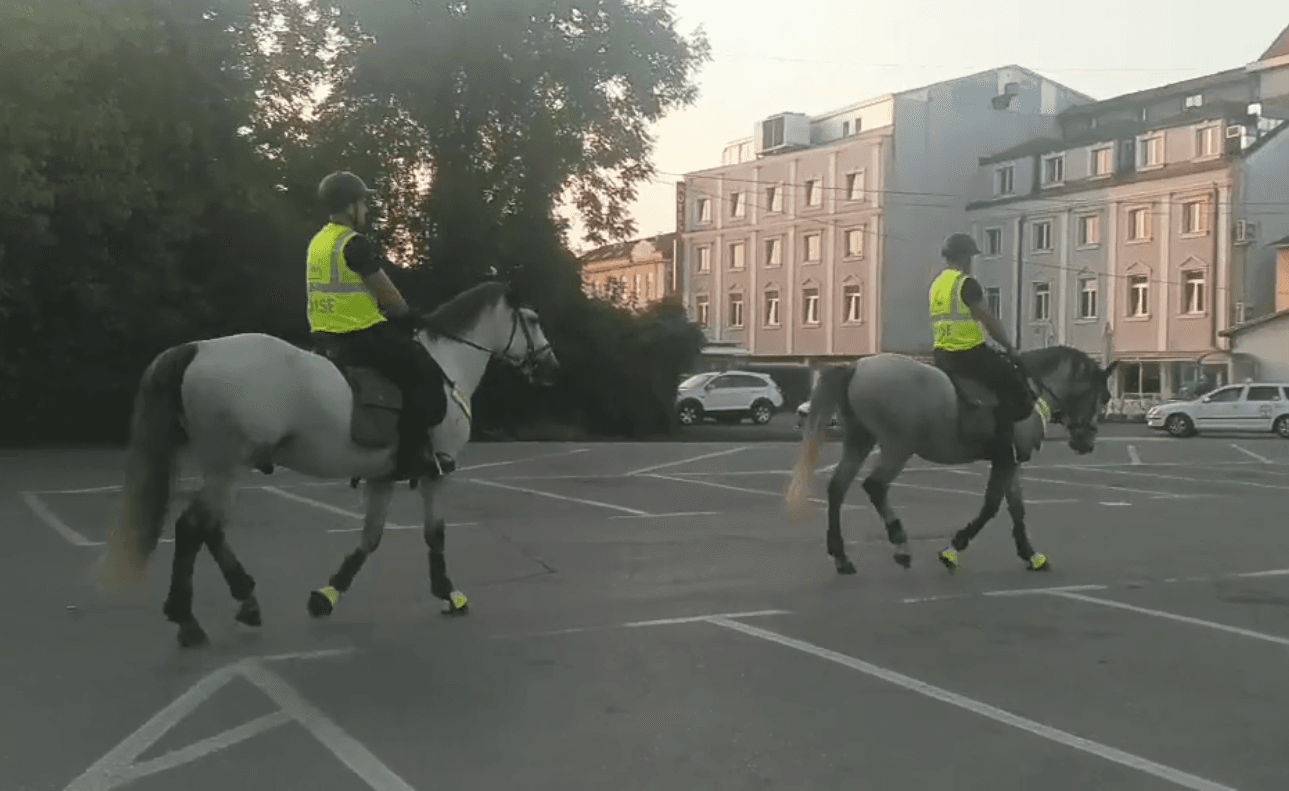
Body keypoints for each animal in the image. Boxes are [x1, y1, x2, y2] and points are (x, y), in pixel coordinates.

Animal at [97, 282, 562, 646]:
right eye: (533, 319)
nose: (551, 366)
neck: (449, 368)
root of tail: (198, 349)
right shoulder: (437, 472)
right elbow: (435, 536)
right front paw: (449, 594)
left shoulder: (383, 477)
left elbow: (369, 540)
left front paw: (326, 596)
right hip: (228, 466)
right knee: (194, 528)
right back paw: (189, 618)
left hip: (224, 467)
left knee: (208, 530)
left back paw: (243, 602)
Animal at [783, 347, 1118, 577]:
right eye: (1104, 396)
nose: (1087, 443)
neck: (1031, 391)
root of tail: (856, 366)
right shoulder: (1005, 461)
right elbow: (991, 506)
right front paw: (953, 548)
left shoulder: (1010, 462)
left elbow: (1016, 508)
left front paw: (1030, 554)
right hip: (897, 446)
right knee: (875, 486)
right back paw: (900, 545)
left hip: (859, 440)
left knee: (837, 488)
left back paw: (841, 557)